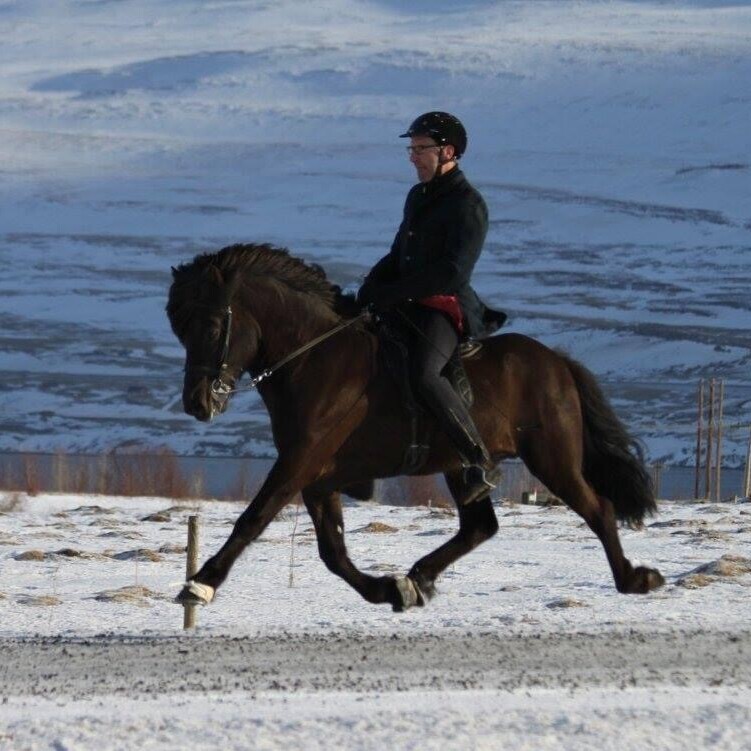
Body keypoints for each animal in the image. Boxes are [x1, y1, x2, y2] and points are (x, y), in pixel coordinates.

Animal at [166, 244, 664, 612]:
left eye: (213, 324)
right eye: (180, 329)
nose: (197, 403)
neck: (314, 359)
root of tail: (557, 362)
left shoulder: (299, 463)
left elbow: (253, 518)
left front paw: (199, 584)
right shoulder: (317, 476)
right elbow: (333, 551)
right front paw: (390, 590)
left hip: (551, 457)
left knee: (597, 508)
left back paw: (635, 578)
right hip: (461, 467)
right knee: (480, 527)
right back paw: (419, 577)